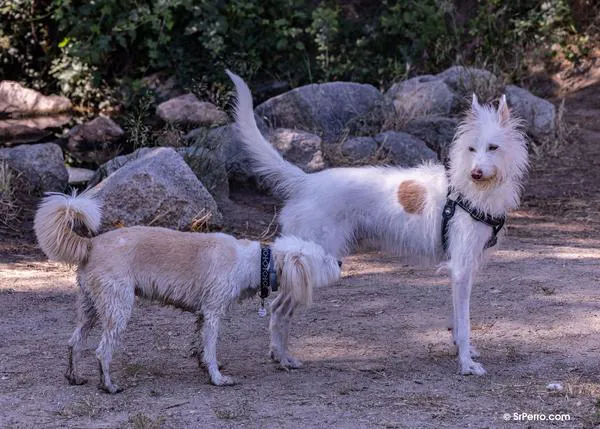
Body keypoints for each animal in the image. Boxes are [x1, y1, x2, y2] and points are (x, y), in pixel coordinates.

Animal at [34, 192, 342, 392]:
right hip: (117, 308)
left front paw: (203, 367)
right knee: (101, 351)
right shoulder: (214, 313)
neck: (257, 261)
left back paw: (74, 377)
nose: (340, 262)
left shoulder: (202, 315)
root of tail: (91, 244)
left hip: (90, 309)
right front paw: (218, 378)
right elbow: (211, 348)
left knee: (74, 343)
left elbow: (200, 346)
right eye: (323, 258)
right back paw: (108, 385)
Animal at [226, 70, 528, 374]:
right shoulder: (461, 268)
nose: (476, 172)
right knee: (278, 308)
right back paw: (283, 356)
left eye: (493, 147)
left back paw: (280, 354)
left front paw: (462, 350)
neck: (471, 190)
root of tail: (306, 181)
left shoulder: (465, 268)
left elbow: (457, 318)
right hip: (307, 265)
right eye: (471, 148)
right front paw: (465, 363)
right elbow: (464, 324)